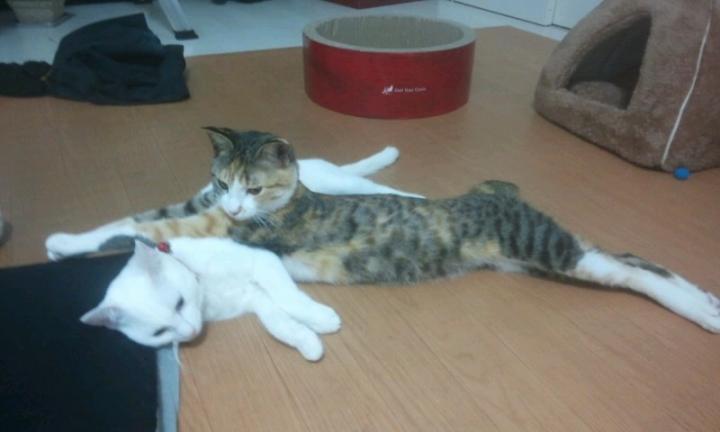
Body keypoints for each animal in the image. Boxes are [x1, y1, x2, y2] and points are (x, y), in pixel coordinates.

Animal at [47, 128, 720, 333]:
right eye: (223, 177)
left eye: (254, 189)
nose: (236, 205)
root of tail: (490, 196)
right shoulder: (198, 203)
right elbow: (134, 219)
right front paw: (67, 242)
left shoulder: (226, 228)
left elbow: (138, 222)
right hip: (526, 254)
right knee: (633, 260)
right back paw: (708, 302)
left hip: (544, 246)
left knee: (630, 266)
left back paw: (702, 311)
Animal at [81, 238, 341, 361]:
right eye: (159, 333)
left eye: (179, 303)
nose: (191, 332)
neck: (206, 291)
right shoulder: (255, 298)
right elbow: (279, 324)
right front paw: (308, 342)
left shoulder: (263, 260)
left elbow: (287, 297)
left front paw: (321, 319)